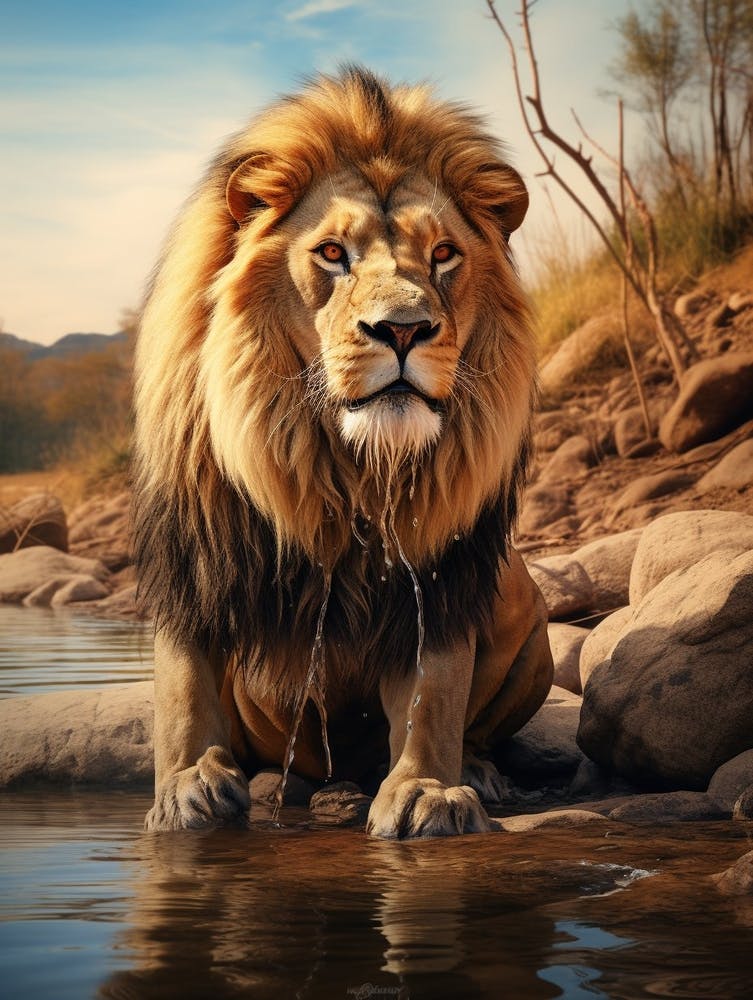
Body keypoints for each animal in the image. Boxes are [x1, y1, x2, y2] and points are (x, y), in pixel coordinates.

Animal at [134, 67, 553, 838]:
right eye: (333, 253)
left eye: (443, 254)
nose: (404, 330)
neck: (347, 470)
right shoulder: (197, 556)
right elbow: (182, 688)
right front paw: (185, 787)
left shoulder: (439, 575)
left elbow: (432, 698)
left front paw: (428, 790)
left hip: (517, 590)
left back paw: (480, 771)